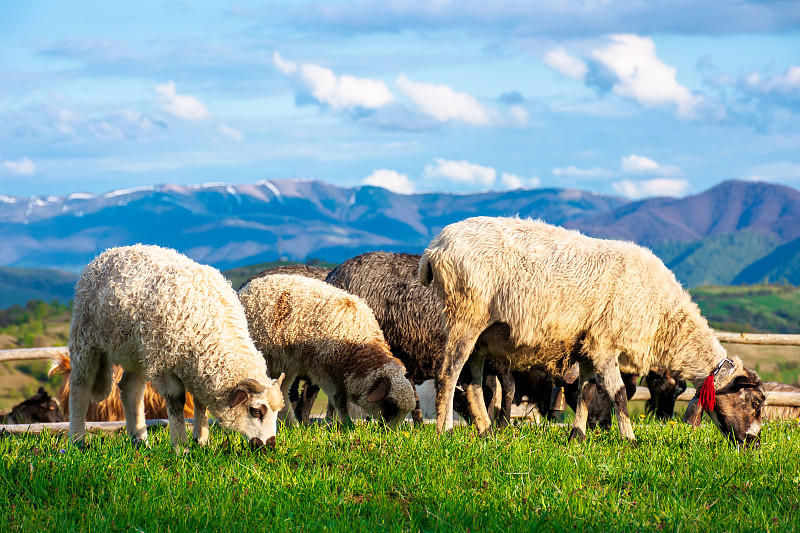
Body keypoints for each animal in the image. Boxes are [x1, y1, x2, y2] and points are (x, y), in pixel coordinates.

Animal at [69, 244, 286, 448]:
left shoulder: (198, 366)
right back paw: (78, 440)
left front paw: (202, 440)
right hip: (85, 338)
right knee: (80, 386)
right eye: (256, 411)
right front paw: (181, 446)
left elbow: (200, 401)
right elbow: (176, 401)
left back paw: (140, 440)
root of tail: (108, 252)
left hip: (138, 351)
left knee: (131, 388)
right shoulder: (164, 362)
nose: (270, 445)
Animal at [238, 272, 416, 426]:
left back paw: (291, 425)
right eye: (390, 405)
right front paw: (346, 424)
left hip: (282, 364)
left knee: (280, 390)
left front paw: (334, 423)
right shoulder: (324, 370)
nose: (390, 432)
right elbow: (339, 401)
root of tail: (247, 288)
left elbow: (333, 402)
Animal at [416, 216, 764, 444]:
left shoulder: (585, 347)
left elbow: (585, 391)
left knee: (472, 381)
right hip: (465, 316)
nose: (754, 444)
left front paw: (577, 436)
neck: (664, 317)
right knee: (448, 373)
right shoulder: (605, 344)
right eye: (757, 402)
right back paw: (445, 432)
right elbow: (618, 393)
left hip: (483, 335)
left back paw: (486, 432)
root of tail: (435, 247)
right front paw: (630, 440)